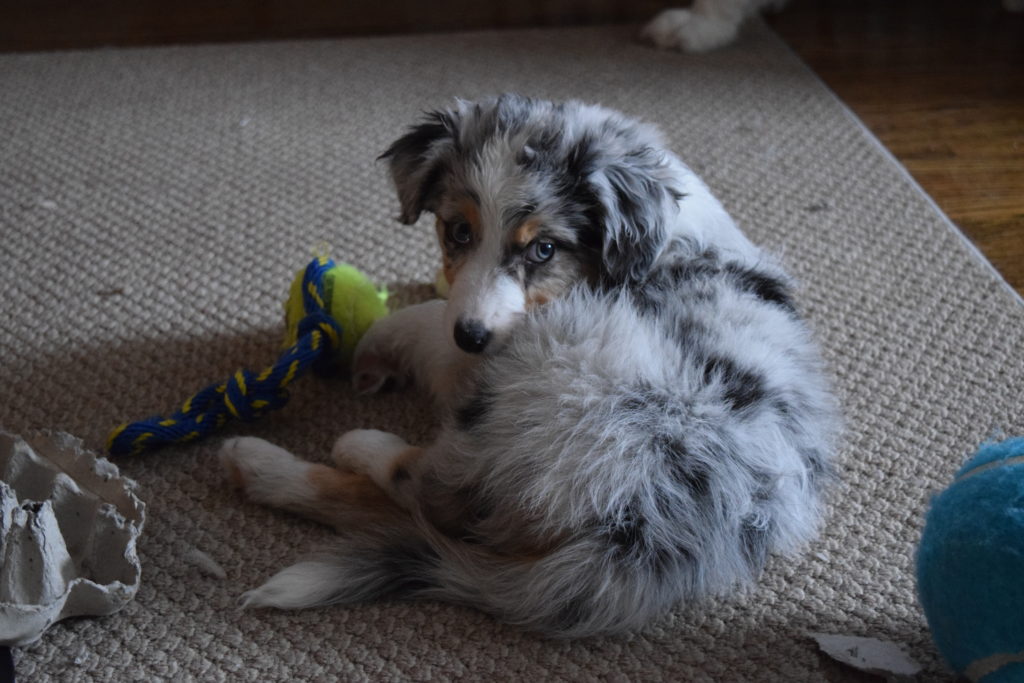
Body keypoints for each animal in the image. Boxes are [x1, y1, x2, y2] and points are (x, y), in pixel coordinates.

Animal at [220, 93, 835, 638]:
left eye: (543, 250)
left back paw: (288, 455)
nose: (472, 336)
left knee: (427, 496)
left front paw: (378, 346)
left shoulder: (495, 348)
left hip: (539, 384)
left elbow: (426, 323)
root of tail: (646, 534)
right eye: (458, 231)